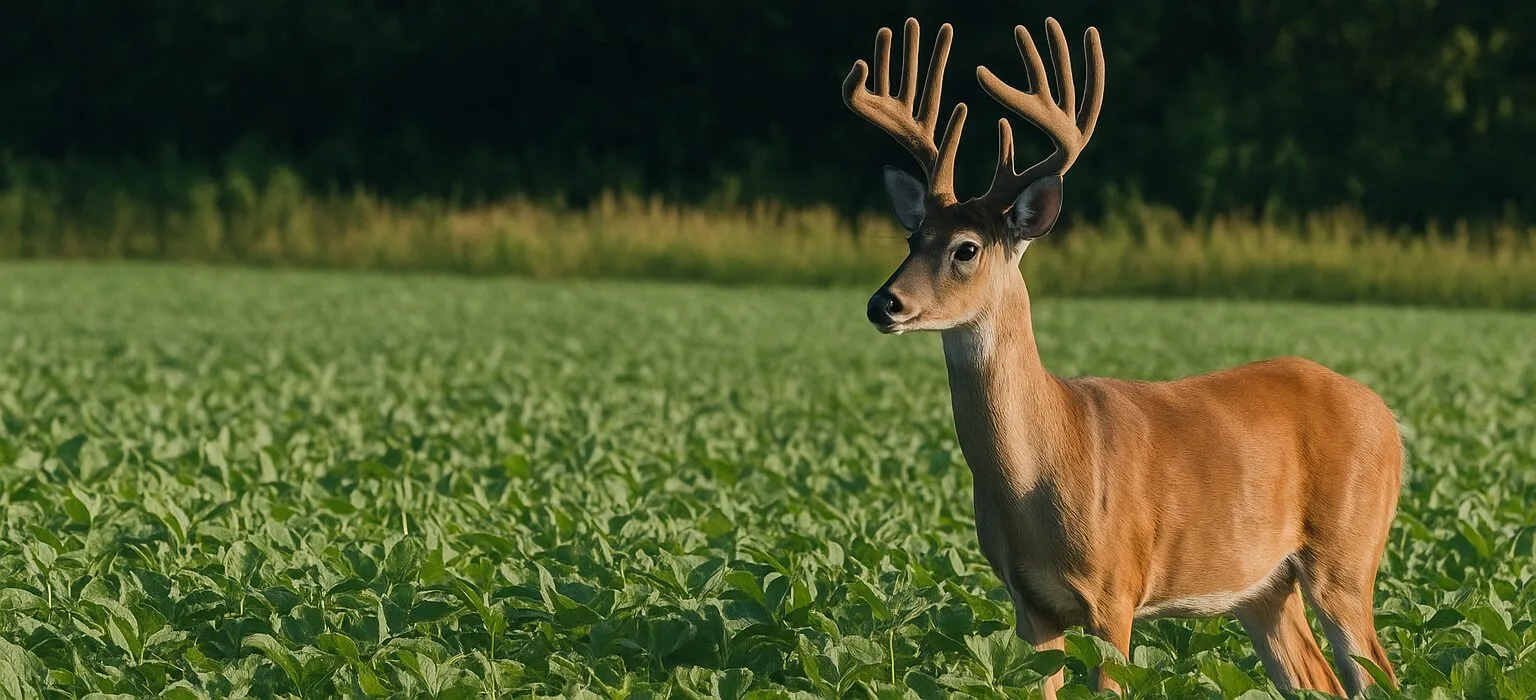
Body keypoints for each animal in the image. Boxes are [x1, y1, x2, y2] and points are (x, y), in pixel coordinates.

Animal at [841, 17, 1403, 698]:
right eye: (911, 237)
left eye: (966, 248)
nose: (883, 303)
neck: (1044, 468)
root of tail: (1388, 417)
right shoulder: (1029, 605)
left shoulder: (1115, 592)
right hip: (1265, 587)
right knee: (1318, 678)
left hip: (1346, 557)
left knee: (1380, 671)